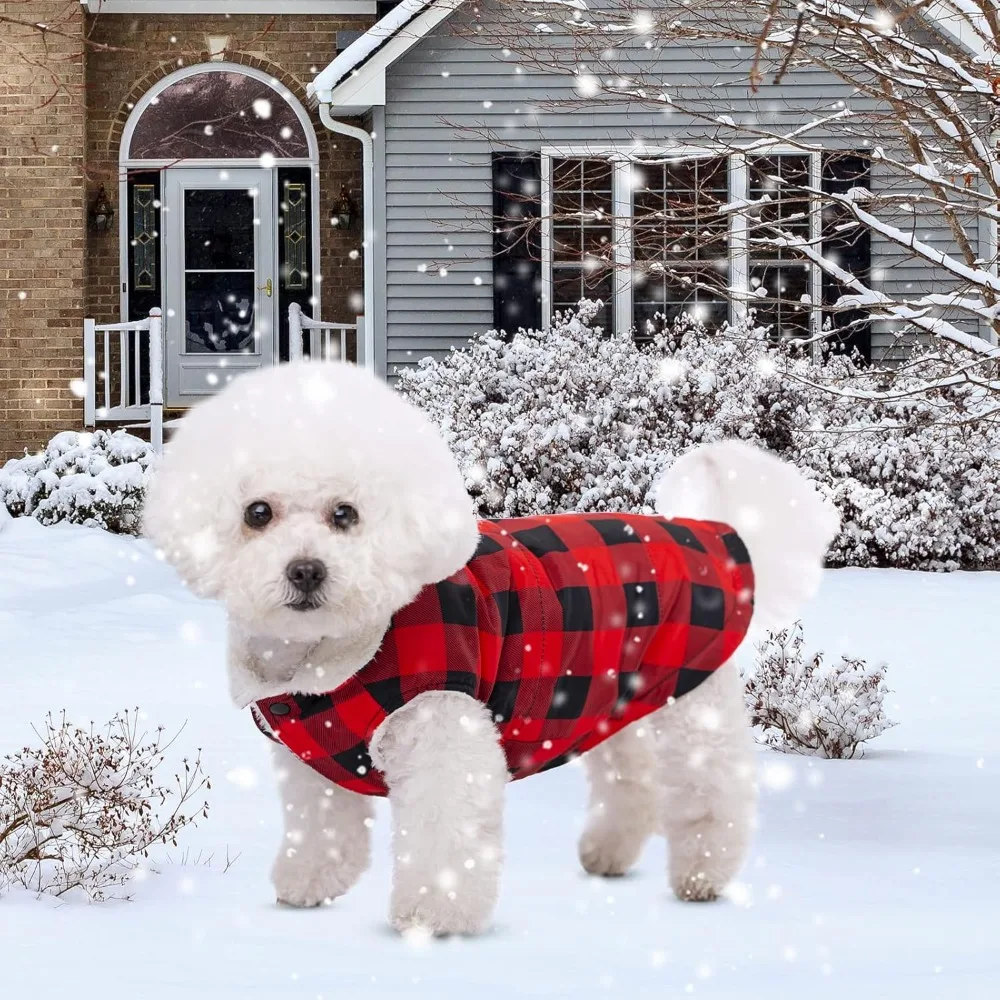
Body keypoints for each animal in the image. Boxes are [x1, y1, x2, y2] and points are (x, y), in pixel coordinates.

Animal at [143, 362, 836, 936]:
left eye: (346, 514)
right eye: (256, 513)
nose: (307, 571)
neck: (333, 657)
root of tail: (714, 532)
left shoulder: (442, 730)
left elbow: (443, 830)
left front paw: (434, 915)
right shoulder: (316, 749)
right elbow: (323, 823)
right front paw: (310, 881)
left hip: (691, 697)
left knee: (710, 789)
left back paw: (703, 873)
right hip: (611, 691)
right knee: (632, 775)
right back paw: (609, 852)